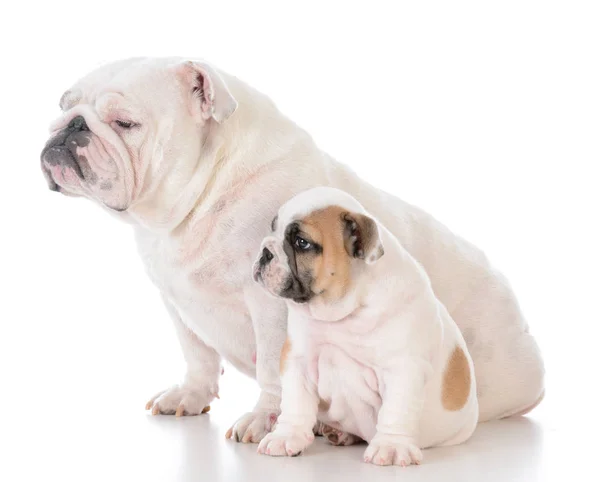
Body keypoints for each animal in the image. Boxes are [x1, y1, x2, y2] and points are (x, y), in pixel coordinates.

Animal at [253, 186, 478, 466]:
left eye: (301, 243)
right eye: (272, 228)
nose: (264, 252)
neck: (342, 310)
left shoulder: (403, 368)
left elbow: (395, 409)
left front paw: (391, 446)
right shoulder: (298, 360)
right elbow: (295, 403)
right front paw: (285, 436)